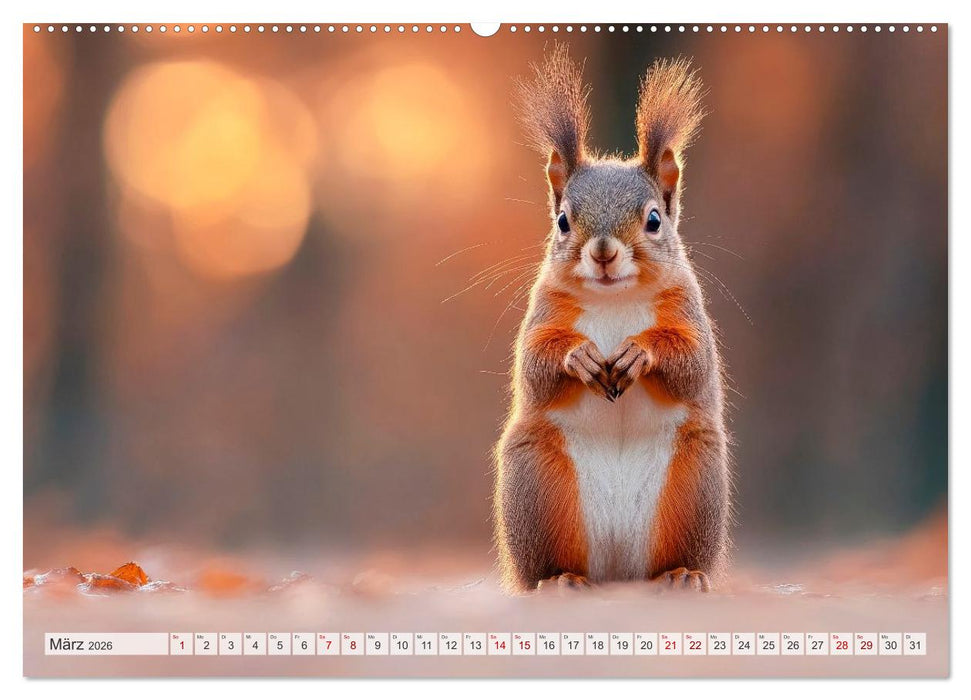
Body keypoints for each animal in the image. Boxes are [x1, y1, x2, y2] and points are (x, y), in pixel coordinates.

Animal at [493, 46, 730, 593]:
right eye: (563, 220)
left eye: (654, 219)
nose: (602, 252)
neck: (614, 300)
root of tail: (619, 569)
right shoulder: (544, 311)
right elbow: (534, 365)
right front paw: (577, 355)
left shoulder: (687, 310)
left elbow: (692, 363)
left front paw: (639, 351)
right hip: (537, 484)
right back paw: (559, 579)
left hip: (695, 483)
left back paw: (682, 574)